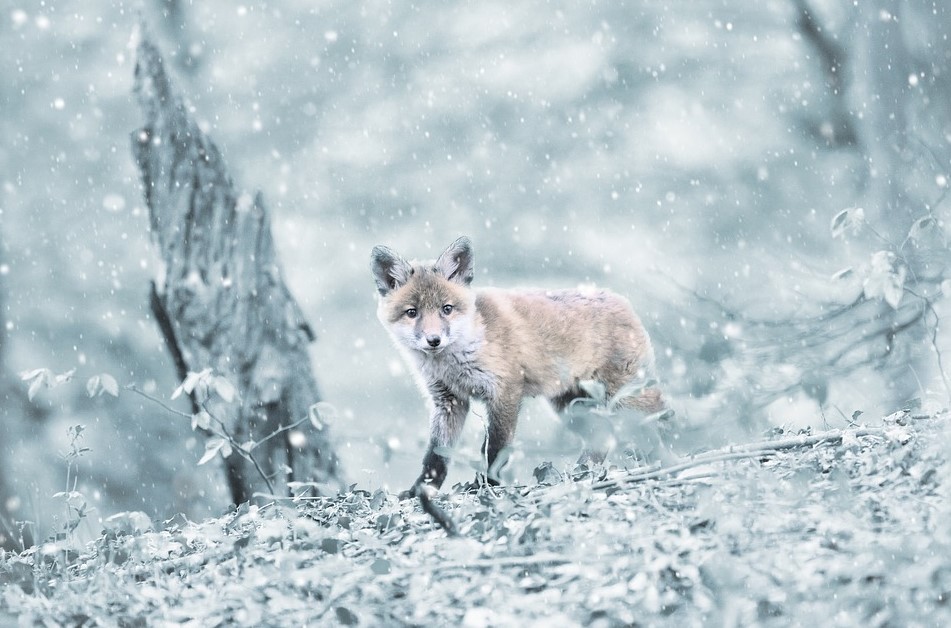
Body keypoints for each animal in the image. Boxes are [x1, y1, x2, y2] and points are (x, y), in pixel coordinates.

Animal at [371, 236, 667, 497]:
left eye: (447, 309)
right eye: (412, 312)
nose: (434, 340)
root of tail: (623, 302)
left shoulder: (505, 392)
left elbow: (495, 449)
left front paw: (486, 485)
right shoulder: (449, 401)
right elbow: (436, 456)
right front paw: (419, 491)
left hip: (624, 402)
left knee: (654, 429)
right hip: (573, 408)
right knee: (601, 440)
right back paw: (581, 474)